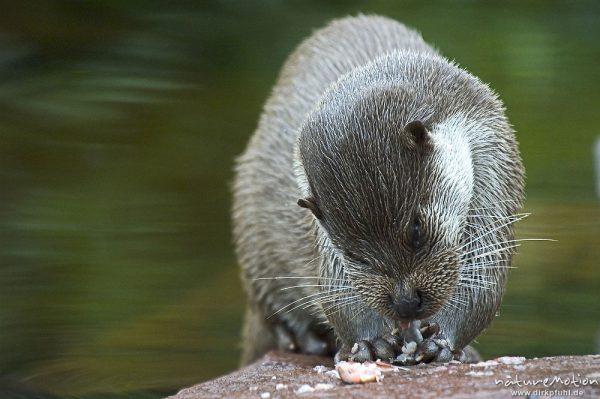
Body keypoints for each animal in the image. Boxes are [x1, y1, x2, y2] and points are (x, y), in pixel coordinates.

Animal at [232, 15, 524, 366]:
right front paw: (370, 342)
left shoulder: (495, 162)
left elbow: (484, 278)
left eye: (416, 230)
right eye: (355, 256)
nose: (405, 304)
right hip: (253, 238)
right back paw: (306, 340)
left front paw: (443, 342)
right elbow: (336, 290)